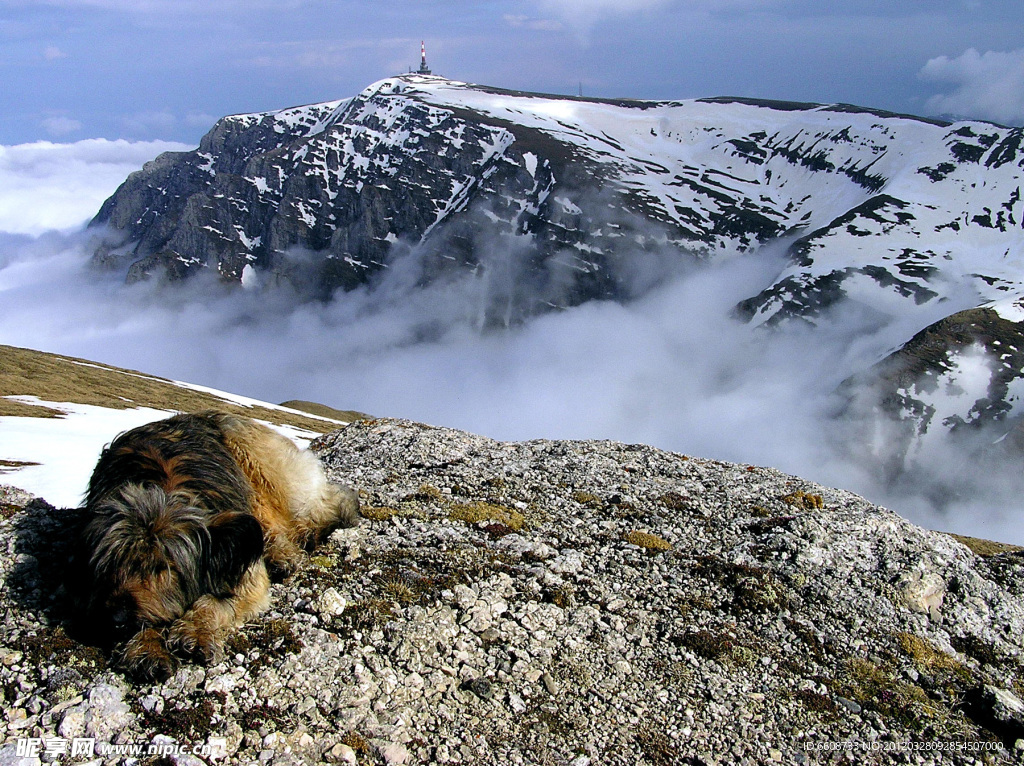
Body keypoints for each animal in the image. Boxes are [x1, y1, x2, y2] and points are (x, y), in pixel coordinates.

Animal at [70, 409, 358, 679]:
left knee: (313, 508)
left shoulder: (240, 558)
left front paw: (196, 630)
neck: (163, 487)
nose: (116, 619)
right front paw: (146, 648)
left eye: (164, 568)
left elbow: (221, 599)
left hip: (259, 465)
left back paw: (287, 550)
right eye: (111, 562)